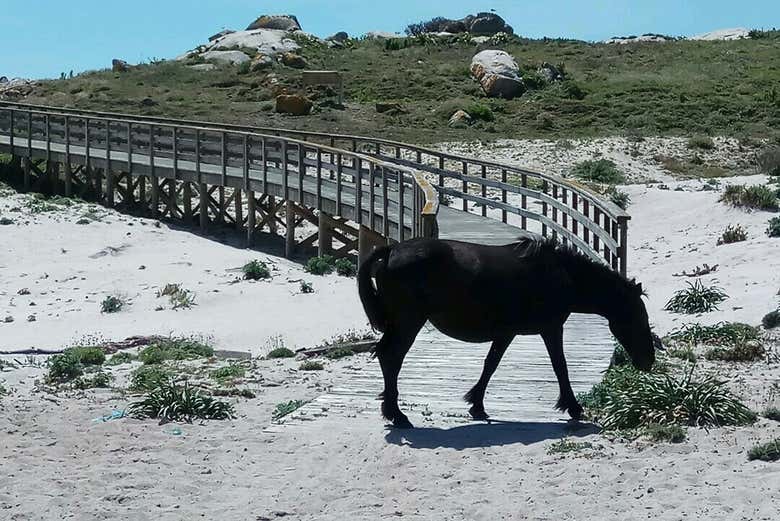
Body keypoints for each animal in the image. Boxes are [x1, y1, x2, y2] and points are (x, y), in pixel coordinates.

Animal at [357, 237, 656, 429]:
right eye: (638, 318)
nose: (648, 361)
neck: (560, 275)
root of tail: (392, 250)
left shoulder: (506, 333)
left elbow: (490, 365)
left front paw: (476, 404)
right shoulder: (550, 328)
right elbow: (560, 366)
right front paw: (573, 406)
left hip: (401, 324)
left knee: (386, 356)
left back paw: (392, 412)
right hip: (409, 323)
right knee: (392, 358)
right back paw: (397, 416)